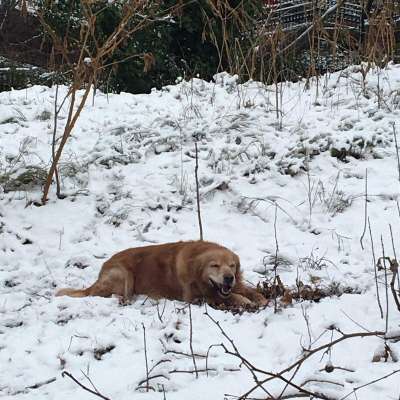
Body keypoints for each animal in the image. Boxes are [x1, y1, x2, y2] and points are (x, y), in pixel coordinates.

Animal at [56, 241, 268, 306]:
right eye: (214, 265)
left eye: (232, 266)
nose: (228, 278)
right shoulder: (195, 297)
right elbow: (230, 296)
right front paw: (245, 301)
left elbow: (247, 290)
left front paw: (259, 297)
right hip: (124, 275)